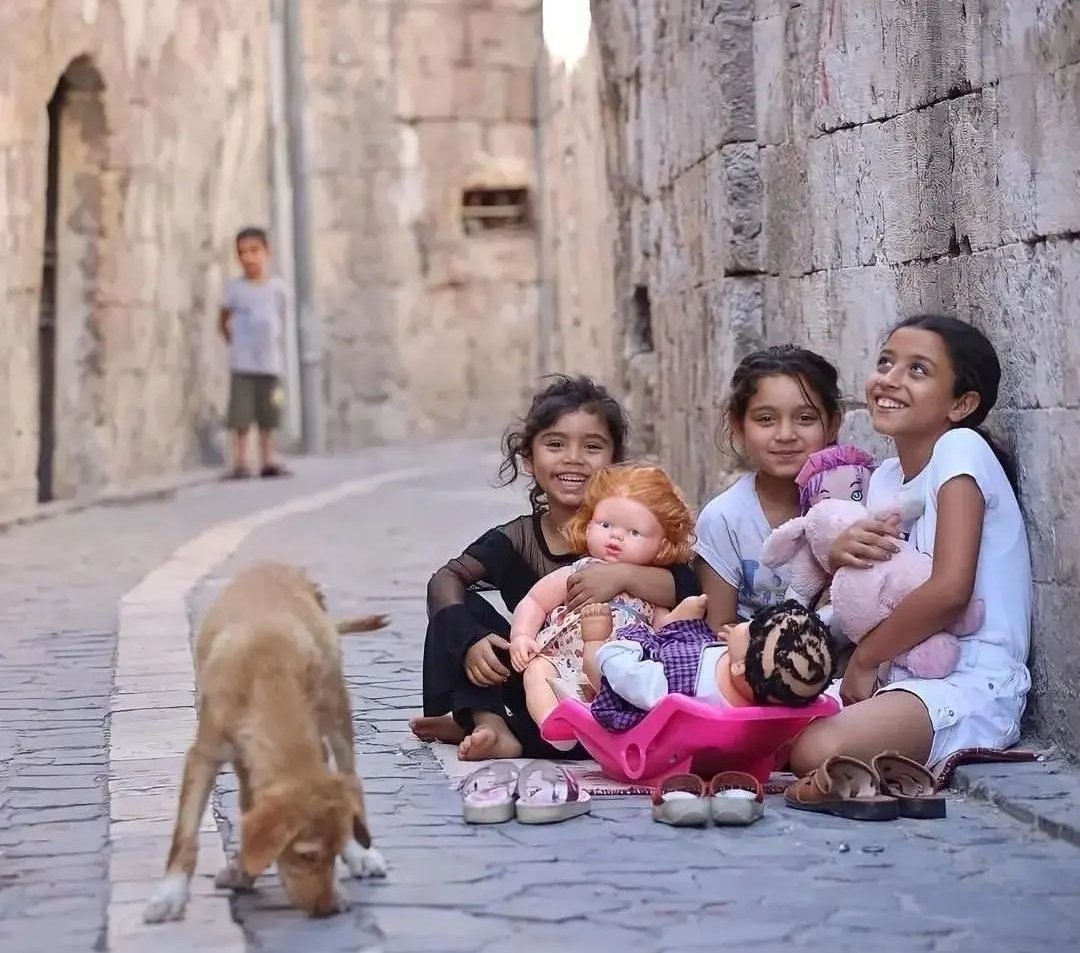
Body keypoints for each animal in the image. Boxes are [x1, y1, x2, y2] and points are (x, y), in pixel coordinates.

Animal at [143, 561, 388, 916]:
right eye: (306, 855)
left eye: (331, 855)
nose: (330, 909)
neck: (269, 678)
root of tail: (277, 565)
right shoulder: (205, 754)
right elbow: (185, 832)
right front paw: (171, 893)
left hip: (337, 713)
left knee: (350, 775)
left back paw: (362, 853)